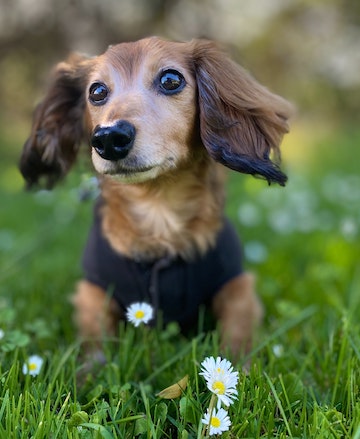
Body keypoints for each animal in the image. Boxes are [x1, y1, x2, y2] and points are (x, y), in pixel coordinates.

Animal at [19, 37, 292, 360]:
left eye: (171, 80)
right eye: (96, 91)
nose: (108, 138)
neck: (158, 210)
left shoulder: (237, 285)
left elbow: (237, 338)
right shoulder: (94, 291)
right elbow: (96, 343)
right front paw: (90, 372)